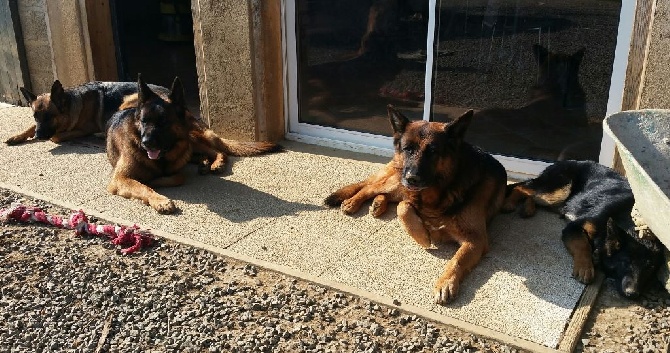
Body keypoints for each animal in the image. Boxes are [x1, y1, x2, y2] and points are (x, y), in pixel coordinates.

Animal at [5, 80, 168, 145]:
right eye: (35, 117)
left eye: (50, 117)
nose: (38, 136)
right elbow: (31, 127)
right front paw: (17, 136)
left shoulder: (84, 129)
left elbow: (55, 137)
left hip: (127, 101)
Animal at [105, 75, 284, 213]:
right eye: (143, 121)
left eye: (163, 122)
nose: (146, 143)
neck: (161, 160)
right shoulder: (120, 178)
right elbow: (143, 186)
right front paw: (159, 199)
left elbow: (177, 177)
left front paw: (153, 183)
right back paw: (204, 163)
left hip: (190, 139)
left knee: (217, 151)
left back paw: (215, 163)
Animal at [326, 104, 510, 302]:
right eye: (408, 149)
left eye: (433, 151)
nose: (411, 178)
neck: (441, 191)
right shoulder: (410, 195)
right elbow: (403, 208)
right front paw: (422, 236)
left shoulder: (476, 239)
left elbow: (457, 259)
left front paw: (445, 282)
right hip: (396, 182)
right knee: (370, 187)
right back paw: (353, 202)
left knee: (384, 194)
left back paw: (378, 205)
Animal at [504, 160, 668, 296]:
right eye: (626, 262)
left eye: (650, 268)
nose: (632, 294)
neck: (631, 223)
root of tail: (565, 161)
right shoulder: (573, 227)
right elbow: (582, 245)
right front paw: (585, 267)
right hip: (558, 191)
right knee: (520, 187)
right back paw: (510, 203)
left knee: (531, 195)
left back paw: (528, 209)